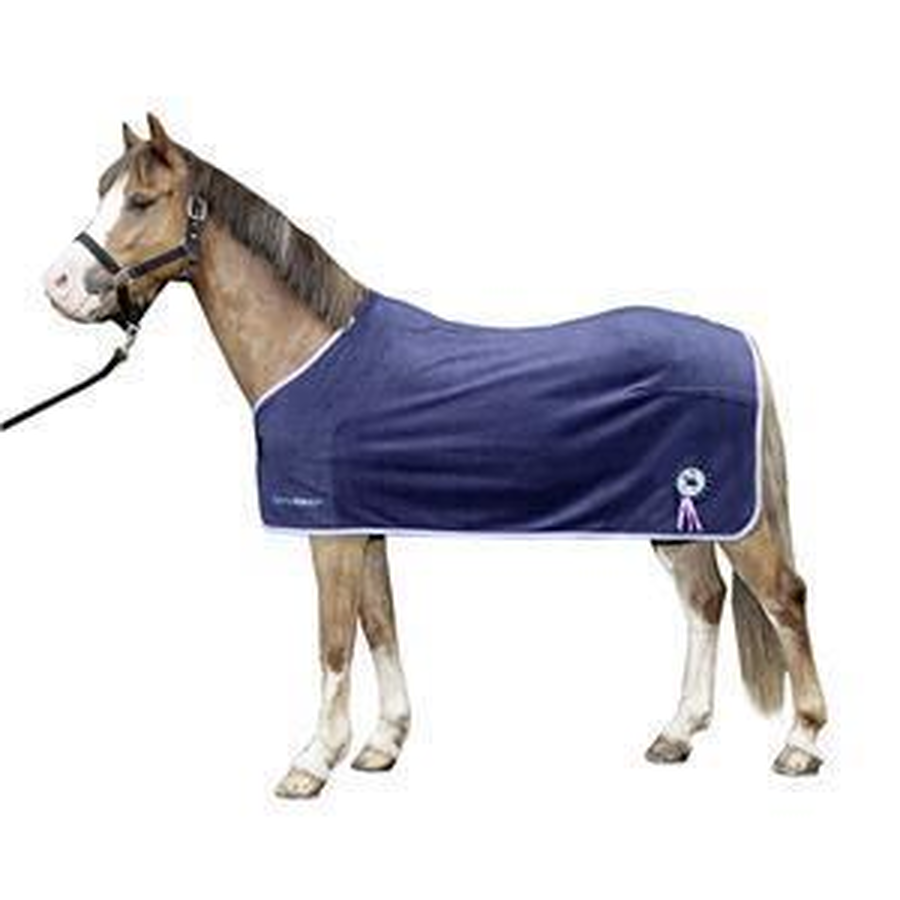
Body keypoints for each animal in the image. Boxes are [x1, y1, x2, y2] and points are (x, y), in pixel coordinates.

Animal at [41, 114, 827, 798]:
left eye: (141, 200)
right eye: (104, 193)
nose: (57, 286)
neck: (311, 351)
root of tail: (740, 344)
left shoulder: (328, 531)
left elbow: (334, 641)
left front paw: (311, 763)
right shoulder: (363, 525)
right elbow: (381, 625)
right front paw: (382, 744)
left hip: (731, 517)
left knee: (783, 599)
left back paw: (801, 744)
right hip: (676, 520)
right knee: (705, 601)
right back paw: (677, 733)